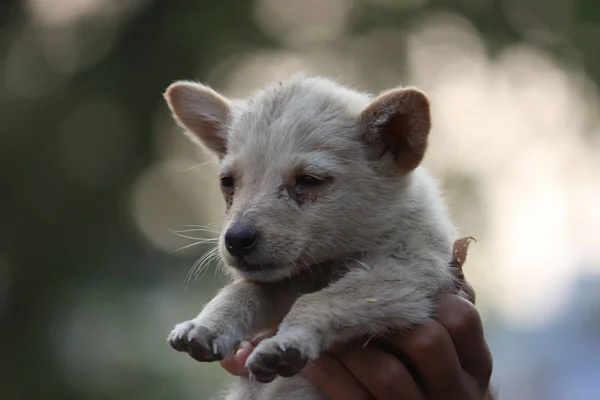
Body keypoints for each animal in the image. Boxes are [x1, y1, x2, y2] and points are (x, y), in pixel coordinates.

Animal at [164, 76, 460, 400]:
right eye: (227, 182)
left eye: (309, 180)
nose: (236, 240)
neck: (329, 264)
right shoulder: (286, 280)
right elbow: (241, 292)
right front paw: (206, 325)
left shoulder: (407, 273)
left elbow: (320, 300)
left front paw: (286, 343)